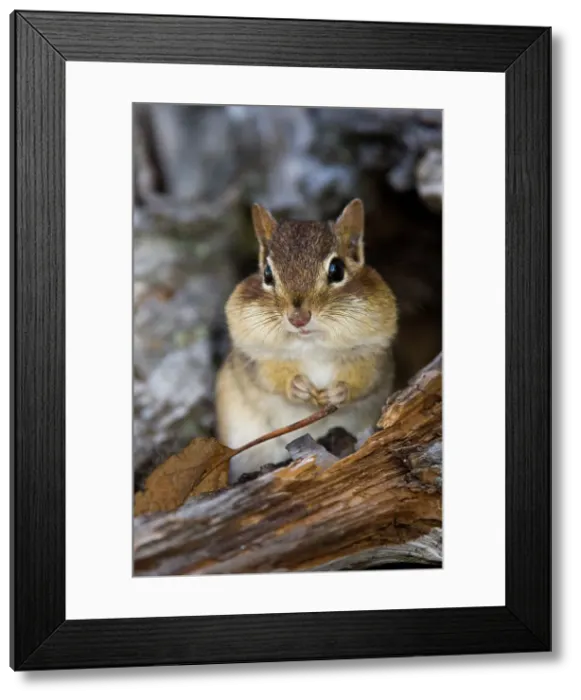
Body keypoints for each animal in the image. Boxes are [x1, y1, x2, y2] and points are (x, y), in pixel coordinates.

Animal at [215, 198, 399, 483]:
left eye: (336, 269)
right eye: (267, 274)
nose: (298, 318)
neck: (312, 346)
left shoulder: (373, 356)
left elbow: (364, 380)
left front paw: (338, 391)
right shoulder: (256, 357)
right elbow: (272, 378)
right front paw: (298, 386)